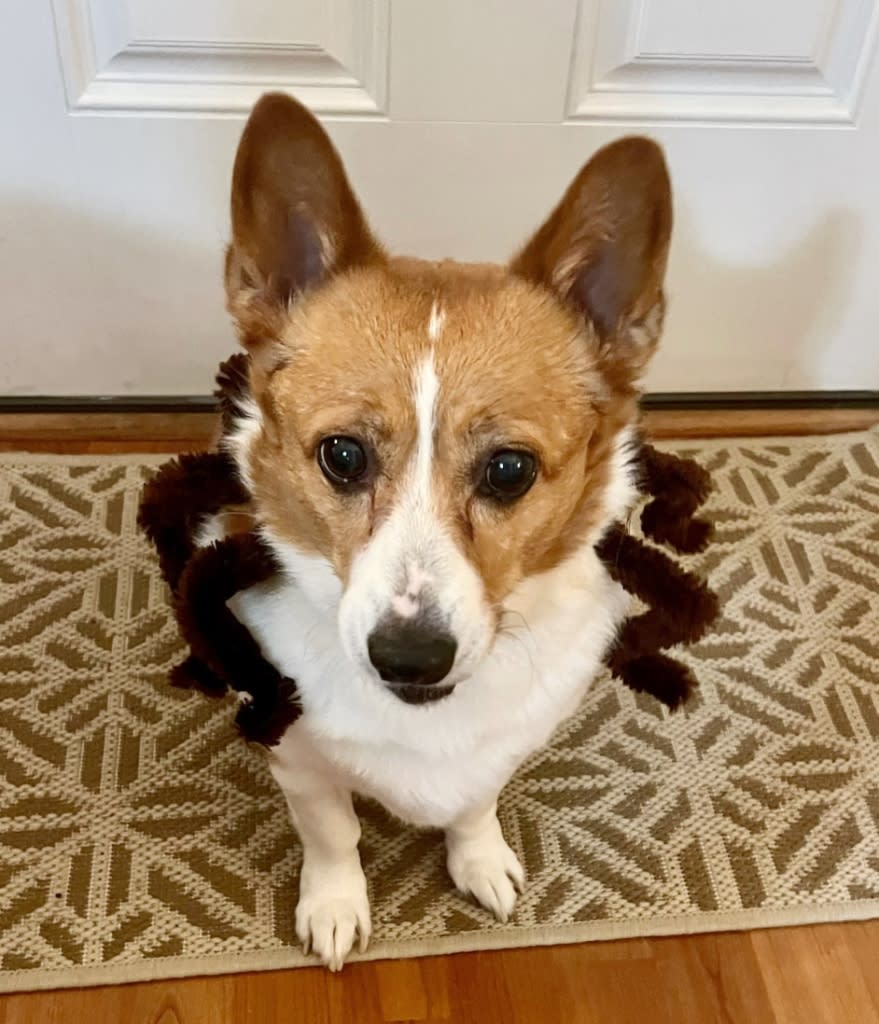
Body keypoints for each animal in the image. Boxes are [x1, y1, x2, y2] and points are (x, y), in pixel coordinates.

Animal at [221, 94, 672, 966]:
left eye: (509, 470)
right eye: (341, 455)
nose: (408, 656)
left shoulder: (502, 744)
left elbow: (473, 801)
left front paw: (480, 859)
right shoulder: (300, 761)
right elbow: (331, 834)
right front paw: (334, 906)